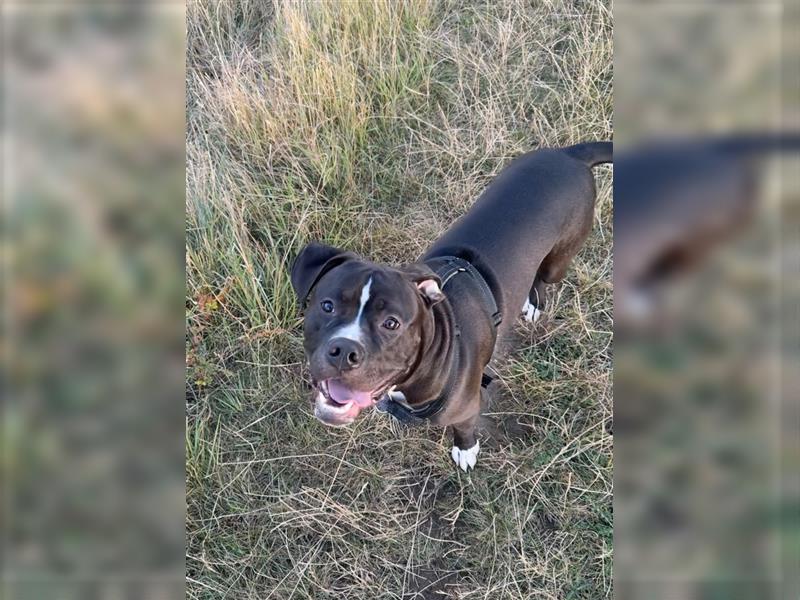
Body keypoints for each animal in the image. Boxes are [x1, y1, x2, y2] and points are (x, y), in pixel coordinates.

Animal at [290, 141, 608, 468]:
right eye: (327, 306)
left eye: (391, 323)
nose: (344, 351)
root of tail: (569, 154)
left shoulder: (467, 407)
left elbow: (464, 429)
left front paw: (465, 450)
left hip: (558, 260)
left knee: (544, 277)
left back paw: (534, 304)